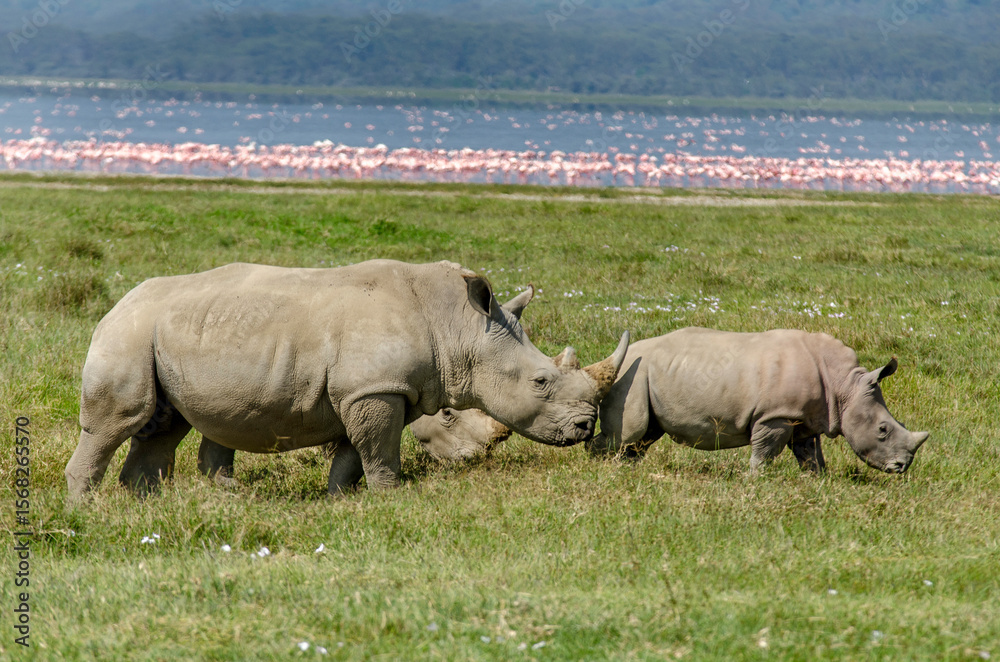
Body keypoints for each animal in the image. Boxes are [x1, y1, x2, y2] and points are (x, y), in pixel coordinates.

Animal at [66, 259, 629, 500]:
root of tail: (115, 304)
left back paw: (145, 508)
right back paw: (88, 510)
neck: (458, 326)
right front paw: (392, 499)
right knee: (119, 420)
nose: (585, 428)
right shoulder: (375, 387)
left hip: (164, 333)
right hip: (129, 334)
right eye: (540, 382)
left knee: (164, 424)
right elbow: (379, 450)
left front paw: (342, 501)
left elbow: (352, 452)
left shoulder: (368, 390)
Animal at [586, 328, 928, 473]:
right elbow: (765, 451)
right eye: (883, 430)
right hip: (631, 376)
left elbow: (809, 452)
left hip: (645, 376)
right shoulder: (774, 415)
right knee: (630, 433)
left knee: (644, 436)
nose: (901, 467)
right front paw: (755, 479)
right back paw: (602, 467)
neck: (845, 386)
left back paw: (627, 470)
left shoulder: (802, 415)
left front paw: (817, 480)